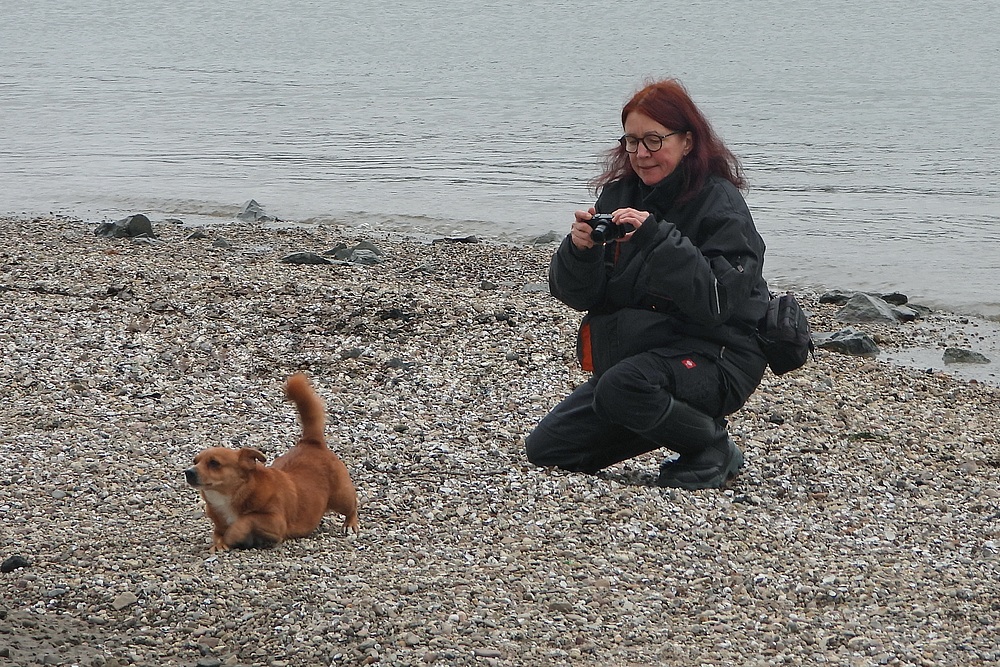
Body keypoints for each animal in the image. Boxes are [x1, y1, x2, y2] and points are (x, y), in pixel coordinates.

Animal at [186, 370, 362, 552]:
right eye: (195, 461)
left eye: (214, 463)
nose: (188, 472)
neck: (233, 495)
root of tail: (311, 442)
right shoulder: (220, 526)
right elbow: (219, 533)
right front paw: (220, 543)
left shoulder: (275, 522)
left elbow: (247, 519)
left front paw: (234, 533)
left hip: (341, 497)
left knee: (352, 505)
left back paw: (350, 524)